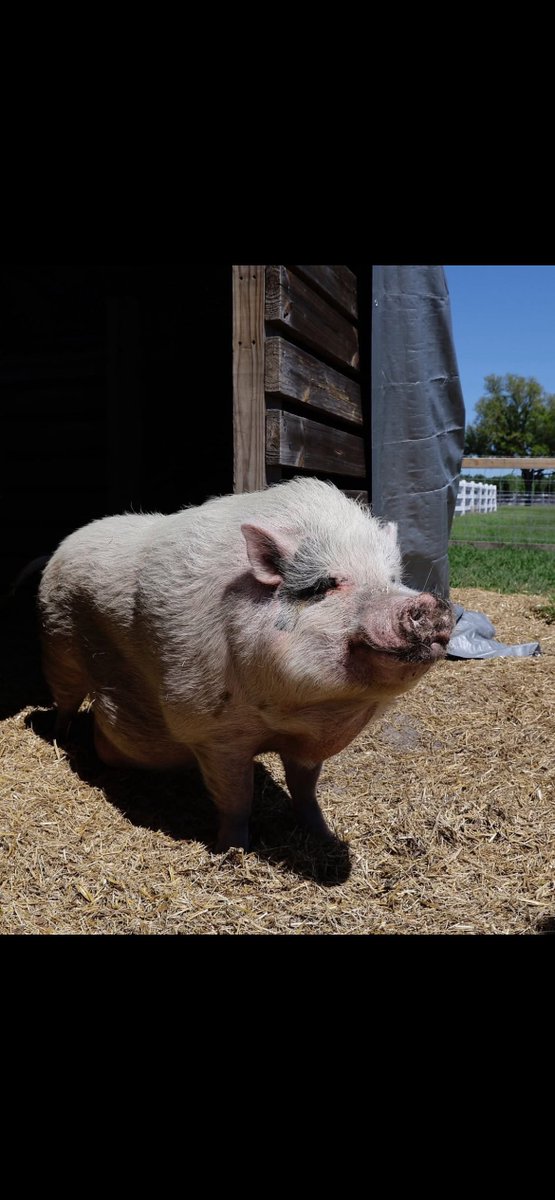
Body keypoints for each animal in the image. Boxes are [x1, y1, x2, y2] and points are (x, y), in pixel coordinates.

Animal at [37, 477, 454, 852]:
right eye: (325, 585)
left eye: (393, 578)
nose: (429, 603)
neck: (294, 714)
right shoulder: (214, 733)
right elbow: (237, 799)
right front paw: (232, 852)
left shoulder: (306, 744)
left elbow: (305, 789)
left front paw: (322, 835)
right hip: (57, 645)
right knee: (67, 702)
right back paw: (61, 738)